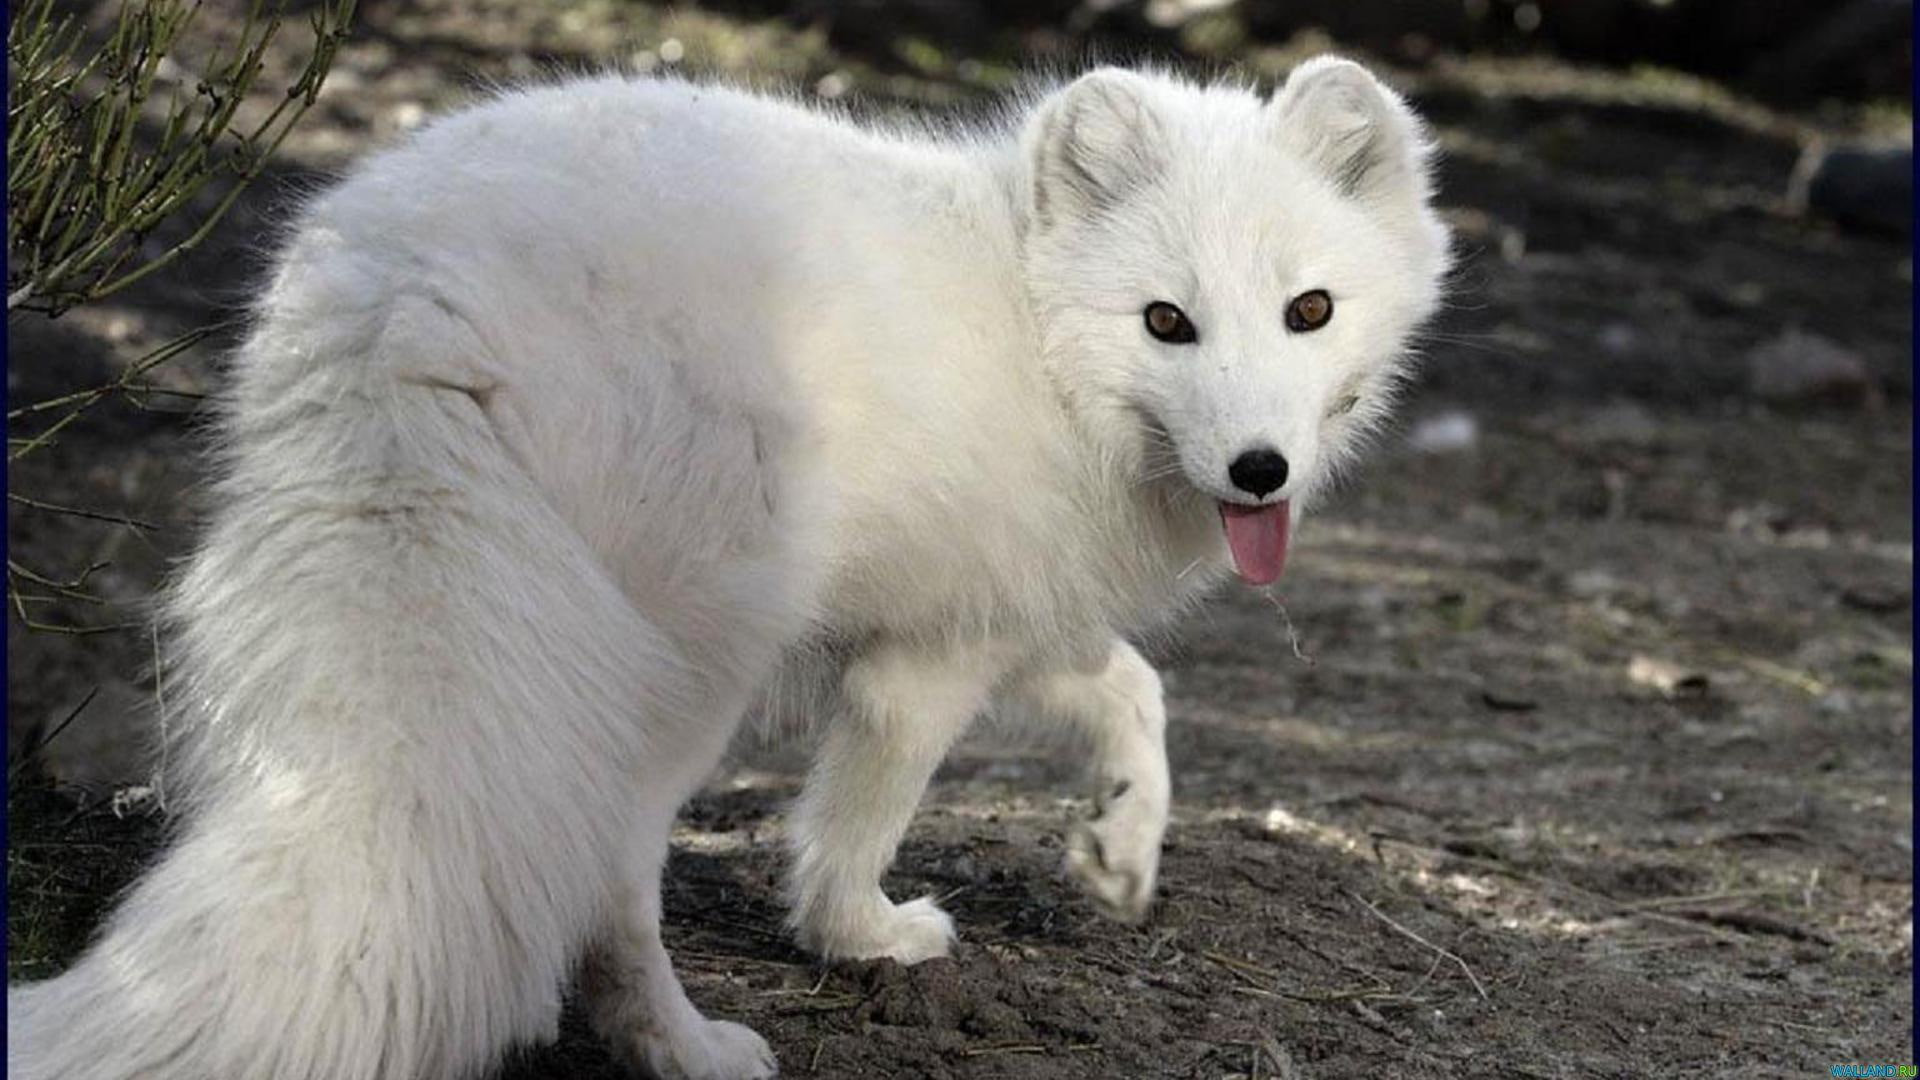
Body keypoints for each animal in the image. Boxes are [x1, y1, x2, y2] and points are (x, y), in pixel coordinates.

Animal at [7, 57, 1449, 1080]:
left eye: (1310, 311)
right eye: (1167, 322)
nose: (1260, 471)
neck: (1035, 328)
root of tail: (415, 297)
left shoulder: (992, 608)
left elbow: (1132, 689)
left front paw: (1120, 851)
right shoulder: (922, 665)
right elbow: (862, 816)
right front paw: (861, 937)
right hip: (689, 662)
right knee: (610, 878)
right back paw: (682, 1046)